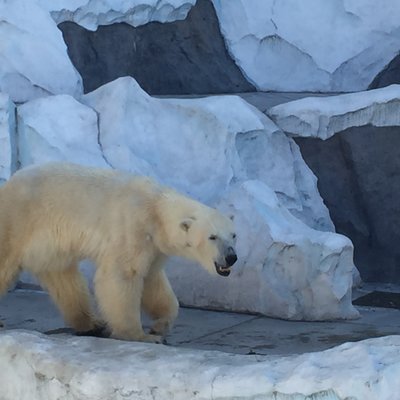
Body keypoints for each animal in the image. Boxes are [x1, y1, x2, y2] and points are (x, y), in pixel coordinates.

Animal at [0, 163, 238, 344]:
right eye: (212, 237)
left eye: (234, 235)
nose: (231, 257)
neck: (156, 208)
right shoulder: (132, 228)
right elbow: (122, 276)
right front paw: (140, 336)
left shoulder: (154, 246)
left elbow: (152, 281)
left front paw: (160, 325)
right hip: (17, 221)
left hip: (49, 247)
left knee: (64, 280)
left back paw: (91, 323)